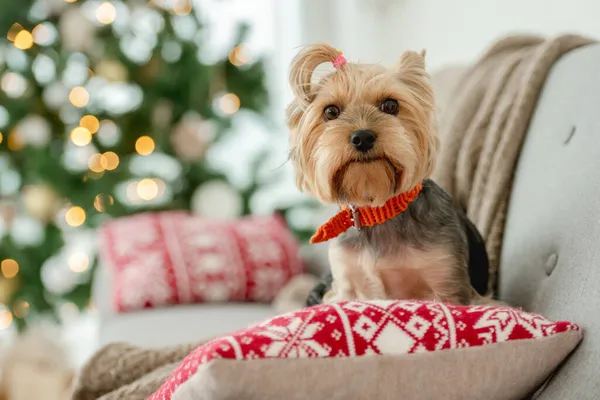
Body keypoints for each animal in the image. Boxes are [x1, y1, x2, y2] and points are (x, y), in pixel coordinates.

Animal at [288, 43, 492, 304]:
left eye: (390, 105)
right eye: (331, 112)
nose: (362, 137)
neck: (378, 210)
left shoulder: (448, 281)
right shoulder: (345, 283)